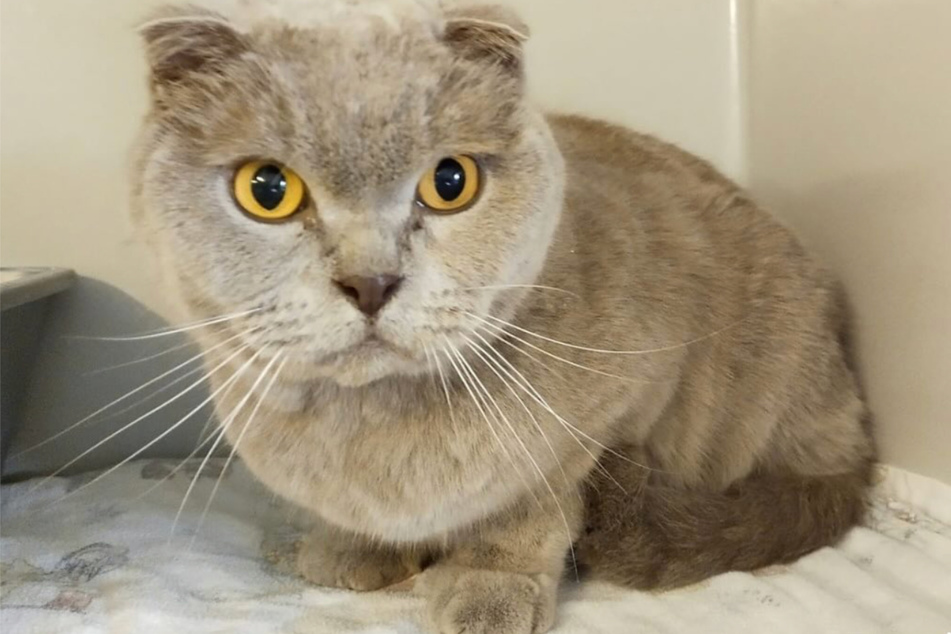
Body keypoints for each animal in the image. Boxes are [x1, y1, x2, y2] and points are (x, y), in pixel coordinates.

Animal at [130, 2, 872, 628]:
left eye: (449, 182)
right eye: (267, 189)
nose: (371, 281)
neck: (374, 424)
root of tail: (853, 446)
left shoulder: (599, 420)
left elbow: (523, 515)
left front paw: (489, 592)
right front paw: (352, 552)